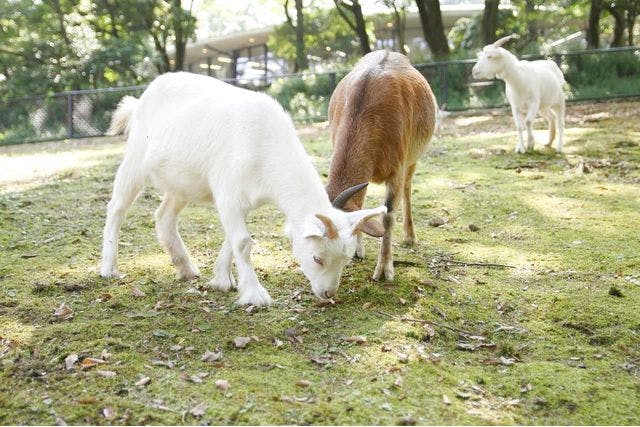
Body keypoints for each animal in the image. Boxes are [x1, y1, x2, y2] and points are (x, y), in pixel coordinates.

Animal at [100, 72, 384, 308]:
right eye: (317, 258)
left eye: (346, 259)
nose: (328, 293)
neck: (264, 145)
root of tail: (141, 100)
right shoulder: (228, 194)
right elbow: (244, 242)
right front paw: (254, 294)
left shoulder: (244, 202)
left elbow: (232, 239)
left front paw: (221, 280)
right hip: (135, 159)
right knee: (117, 208)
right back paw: (109, 267)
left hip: (182, 182)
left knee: (164, 215)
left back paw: (186, 268)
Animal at [328, 49, 438, 280]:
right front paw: (358, 250)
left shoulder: (397, 169)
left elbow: (388, 216)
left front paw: (384, 269)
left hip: (413, 159)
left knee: (407, 189)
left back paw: (409, 237)